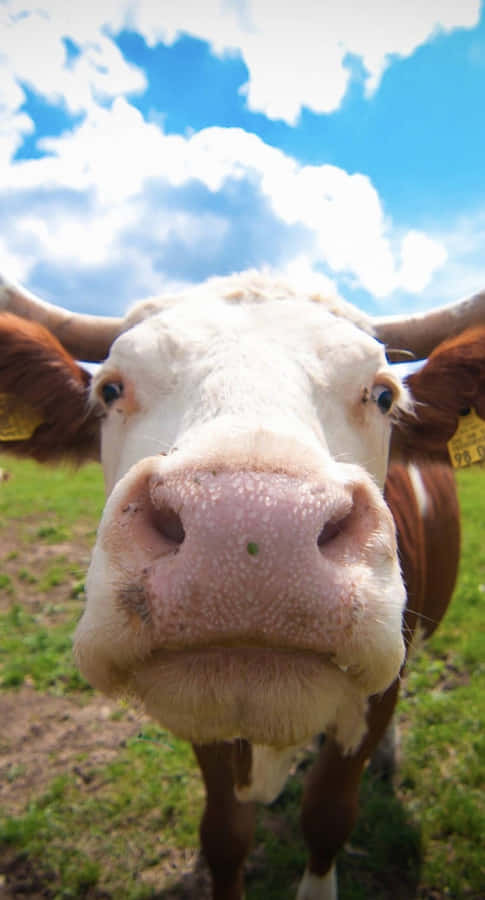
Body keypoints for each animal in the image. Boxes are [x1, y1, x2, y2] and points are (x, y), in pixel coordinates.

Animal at [0, 271, 484, 900]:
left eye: (383, 396)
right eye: (110, 390)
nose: (251, 524)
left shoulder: (377, 697)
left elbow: (327, 816)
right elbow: (225, 833)